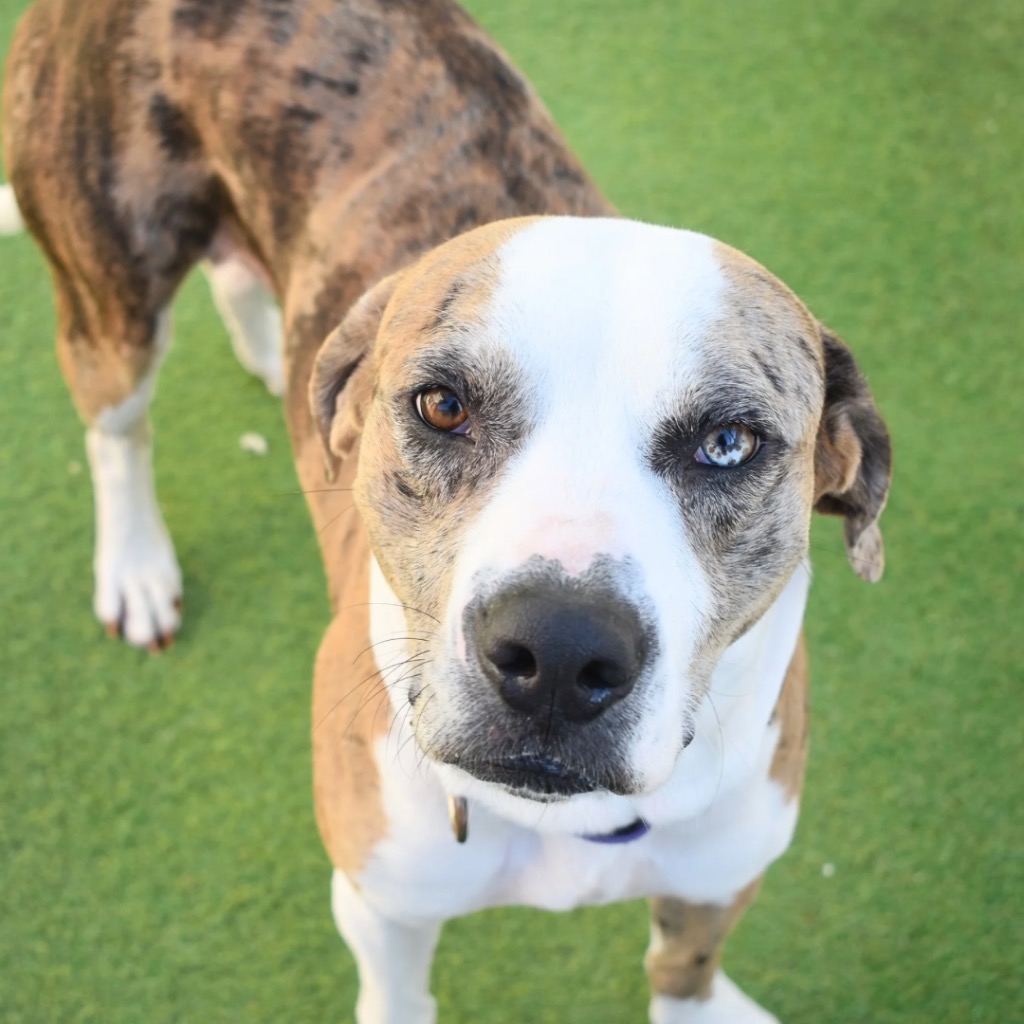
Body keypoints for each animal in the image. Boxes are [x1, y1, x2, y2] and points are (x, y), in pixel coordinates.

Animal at [2, 1, 891, 1021]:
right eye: (442, 406)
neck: (570, 823)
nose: (558, 652)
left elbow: (684, 971)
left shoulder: (716, 879)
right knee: (117, 431)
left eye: (730, 443)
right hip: (113, 296)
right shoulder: (379, 907)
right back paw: (137, 566)